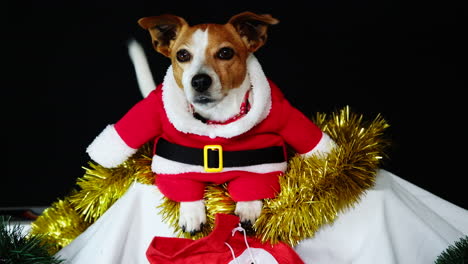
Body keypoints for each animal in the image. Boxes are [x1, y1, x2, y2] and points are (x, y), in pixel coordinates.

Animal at [87, 10, 336, 233]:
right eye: (182, 55)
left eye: (225, 53)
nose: (199, 81)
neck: (216, 121)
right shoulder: (174, 166)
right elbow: (184, 186)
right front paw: (192, 214)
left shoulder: (264, 156)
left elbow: (253, 184)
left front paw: (248, 209)